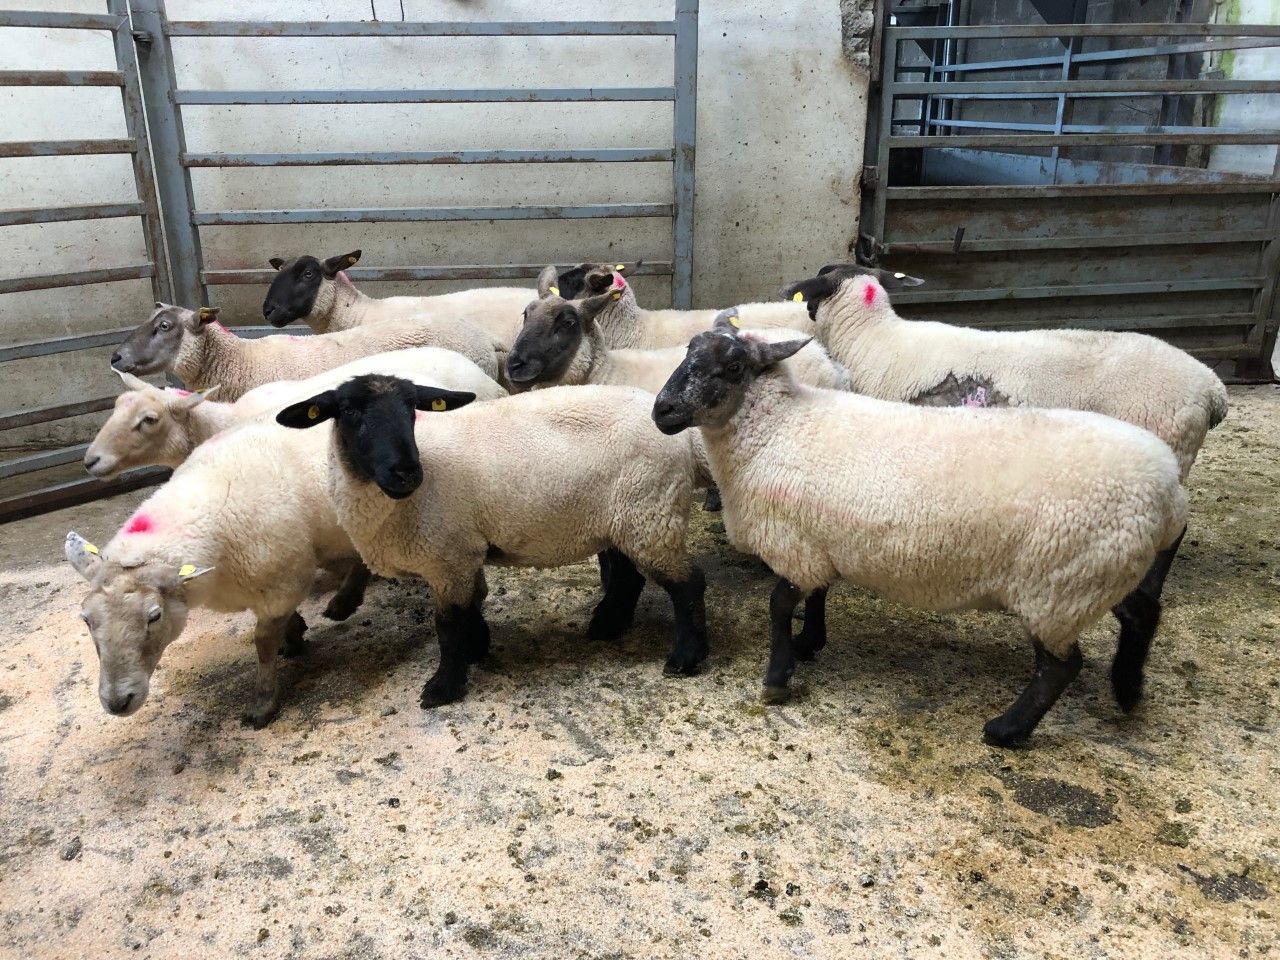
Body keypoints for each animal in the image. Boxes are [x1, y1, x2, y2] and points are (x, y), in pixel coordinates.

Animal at [67, 367, 507, 728]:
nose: (117, 701)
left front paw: (264, 701)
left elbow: (263, 643)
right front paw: (295, 636)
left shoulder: (284, 578)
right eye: (86, 620)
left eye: (154, 616)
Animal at [275, 375, 708, 708]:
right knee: (629, 577)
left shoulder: (448, 555)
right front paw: (477, 648)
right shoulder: (463, 551)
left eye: (412, 410)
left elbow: (449, 623)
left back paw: (686, 658)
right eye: (349, 413)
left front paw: (443, 687)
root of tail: (683, 436)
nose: (407, 473)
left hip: (651, 511)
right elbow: (471, 605)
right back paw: (607, 626)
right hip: (625, 519)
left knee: (687, 584)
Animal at [652, 311, 1189, 747]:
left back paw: (1008, 730)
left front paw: (778, 677)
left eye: (733, 367)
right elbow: (818, 596)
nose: (662, 411)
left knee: (1059, 666)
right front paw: (810, 644)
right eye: (687, 354)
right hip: (1105, 567)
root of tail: (1168, 493)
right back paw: (1127, 689)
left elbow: (780, 606)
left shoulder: (794, 545)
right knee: (1143, 613)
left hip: (1057, 585)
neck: (776, 429)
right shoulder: (820, 541)